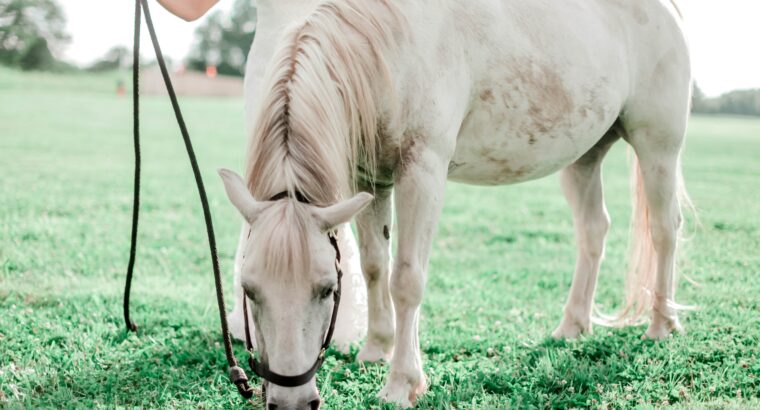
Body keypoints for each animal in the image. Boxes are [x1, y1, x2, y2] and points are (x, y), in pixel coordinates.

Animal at [218, 0, 688, 406]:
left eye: (326, 290)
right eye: (249, 290)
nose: (291, 401)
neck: (386, 47)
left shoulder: (422, 170)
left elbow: (406, 279)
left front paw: (401, 383)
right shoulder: (370, 180)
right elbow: (374, 267)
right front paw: (376, 349)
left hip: (658, 148)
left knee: (665, 229)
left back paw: (661, 324)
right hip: (584, 157)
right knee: (593, 230)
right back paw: (572, 326)